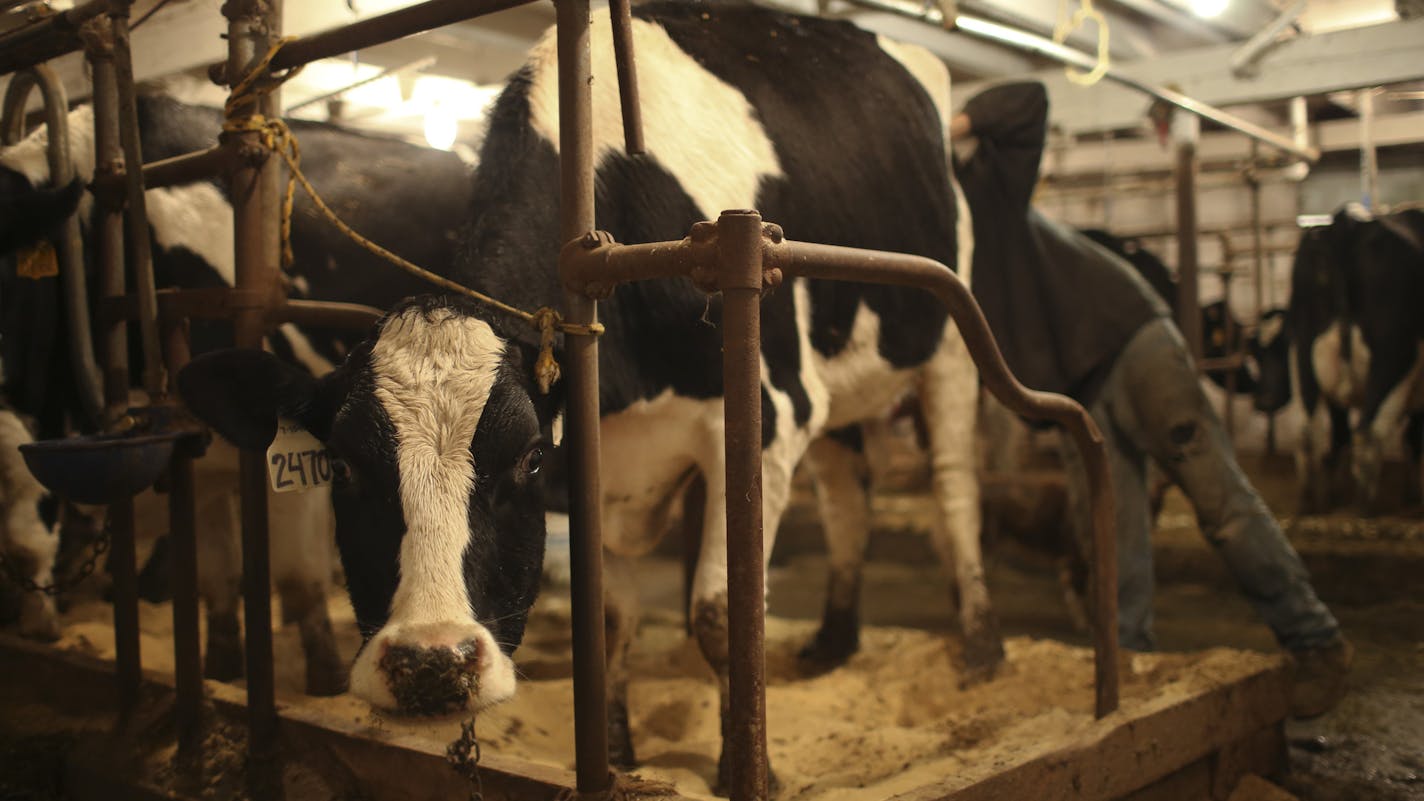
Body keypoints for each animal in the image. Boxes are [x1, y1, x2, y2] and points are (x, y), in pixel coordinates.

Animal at [178, 1, 985, 786]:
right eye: (342, 466)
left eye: (529, 458)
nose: (432, 664)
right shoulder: (605, 462)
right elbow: (608, 617)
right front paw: (619, 752)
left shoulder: (771, 413)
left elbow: (722, 614)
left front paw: (744, 769)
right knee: (849, 495)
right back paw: (833, 642)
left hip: (951, 337)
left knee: (953, 485)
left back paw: (981, 645)